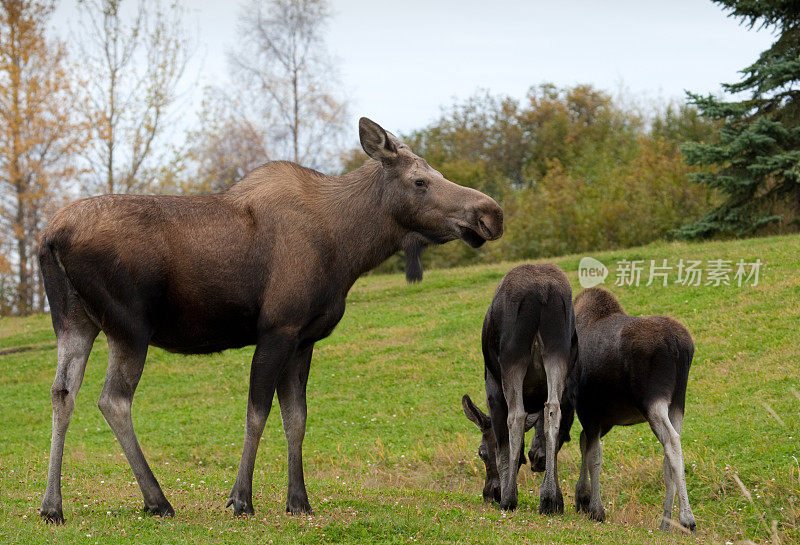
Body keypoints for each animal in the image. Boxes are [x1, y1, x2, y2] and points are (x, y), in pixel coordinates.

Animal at [462, 262, 576, 510]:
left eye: (481, 453)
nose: (489, 493)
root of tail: (543, 292)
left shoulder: (492, 389)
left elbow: (503, 444)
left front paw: (506, 491)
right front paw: (556, 496)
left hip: (512, 358)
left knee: (516, 416)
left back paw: (510, 498)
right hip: (559, 352)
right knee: (553, 410)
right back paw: (550, 498)